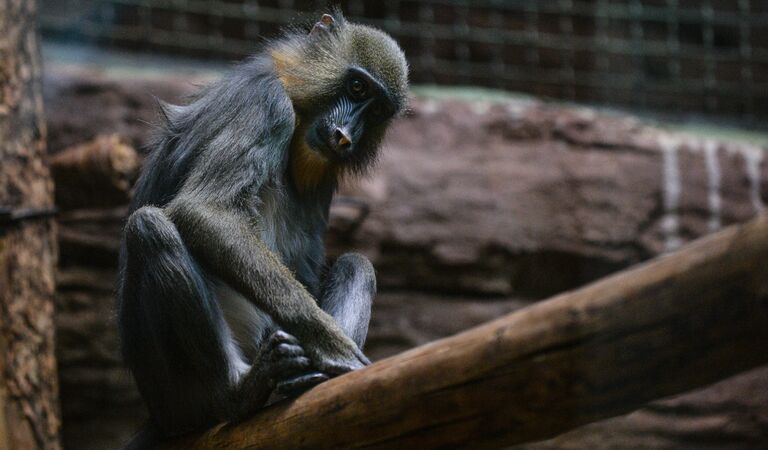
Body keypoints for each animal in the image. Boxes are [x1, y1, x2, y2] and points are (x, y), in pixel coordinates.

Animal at [117, 12, 408, 448]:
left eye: (376, 112)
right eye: (357, 86)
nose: (344, 136)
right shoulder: (265, 103)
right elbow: (205, 211)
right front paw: (336, 349)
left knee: (357, 264)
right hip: (174, 397)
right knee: (149, 227)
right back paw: (236, 393)